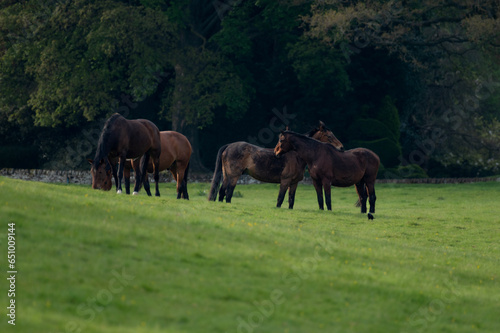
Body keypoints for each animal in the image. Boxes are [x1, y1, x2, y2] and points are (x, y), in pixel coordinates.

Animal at [207, 120, 344, 209]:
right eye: (329, 136)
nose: (341, 147)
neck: (296, 155)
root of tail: (229, 146)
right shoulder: (285, 181)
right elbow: (280, 199)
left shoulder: (294, 183)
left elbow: (291, 201)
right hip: (234, 176)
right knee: (228, 193)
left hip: (227, 176)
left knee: (222, 192)